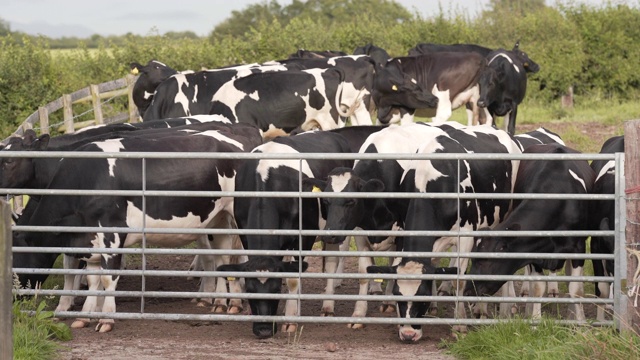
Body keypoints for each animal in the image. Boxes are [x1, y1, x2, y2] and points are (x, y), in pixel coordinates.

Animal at [11, 122, 262, 334]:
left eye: (14, 258)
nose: (12, 298)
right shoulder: (89, 240)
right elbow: (92, 279)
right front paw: (85, 316)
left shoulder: (112, 234)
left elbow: (108, 278)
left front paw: (106, 319)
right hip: (218, 219)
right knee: (222, 257)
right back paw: (222, 302)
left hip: (239, 218)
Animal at [215, 129, 382, 338]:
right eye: (251, 292)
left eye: (276, 290)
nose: (263, 330)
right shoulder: (245, 234)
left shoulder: (304, 237)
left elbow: (293, 278)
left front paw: (290, 320)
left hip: (333, 230)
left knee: (331, 264)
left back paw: (327, 307)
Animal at [464, 143, 596, 324]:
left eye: (484, 261)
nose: (468, 291)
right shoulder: (533, 250)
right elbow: (537, 287)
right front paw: (534, 320)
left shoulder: (578, 246)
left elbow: (575, 289)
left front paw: (580, 321)